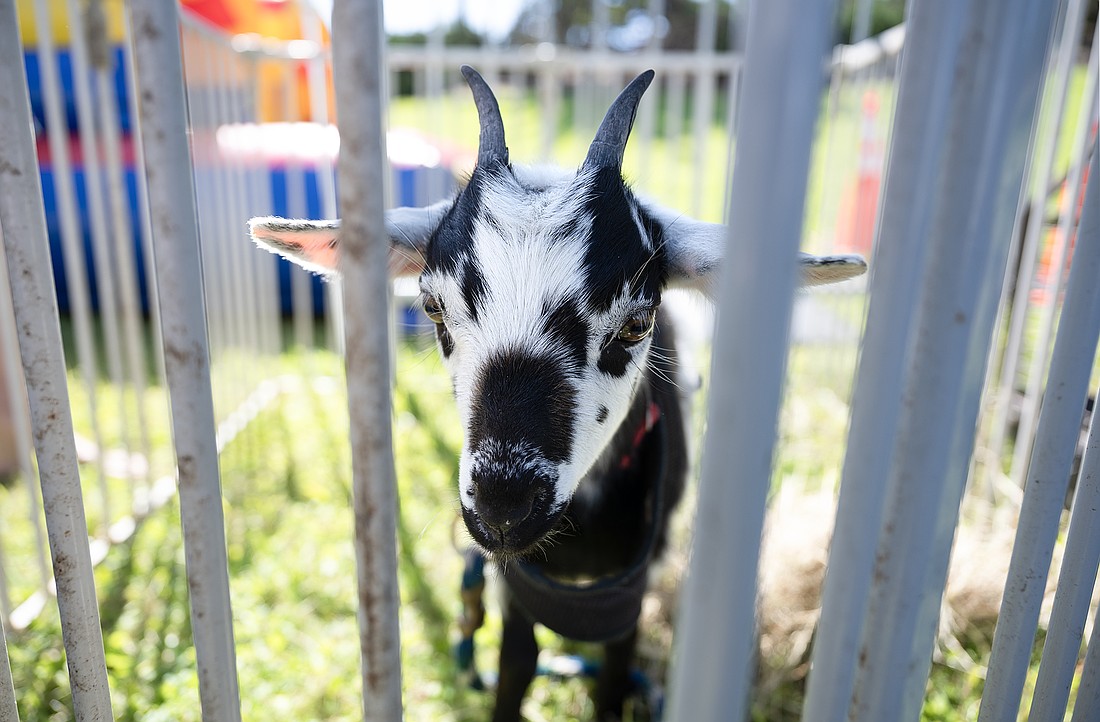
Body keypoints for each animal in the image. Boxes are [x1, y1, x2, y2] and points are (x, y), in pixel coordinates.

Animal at [248, 66, 866, 722]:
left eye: (637, 322)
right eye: (433, 307)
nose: (504, 507)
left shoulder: (634, 583)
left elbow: (613, 675)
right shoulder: (515, 587)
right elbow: (516, 665)